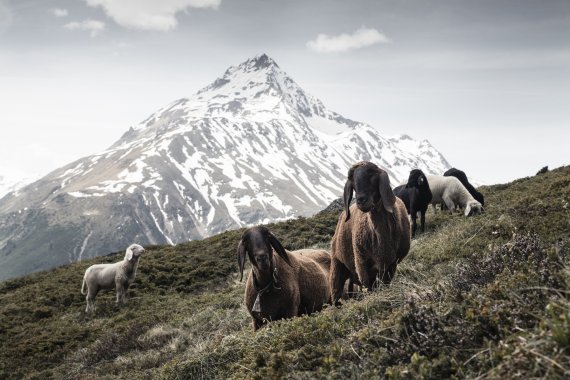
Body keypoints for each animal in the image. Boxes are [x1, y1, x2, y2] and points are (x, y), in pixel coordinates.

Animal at [328, 162, 408, 304]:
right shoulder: (361, 261)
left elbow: (385, 283)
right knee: (335, 292)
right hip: (337, 264)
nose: (361, 200)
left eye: (373, 175)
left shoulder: (391, 263)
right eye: (353, 181)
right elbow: (368, 286)